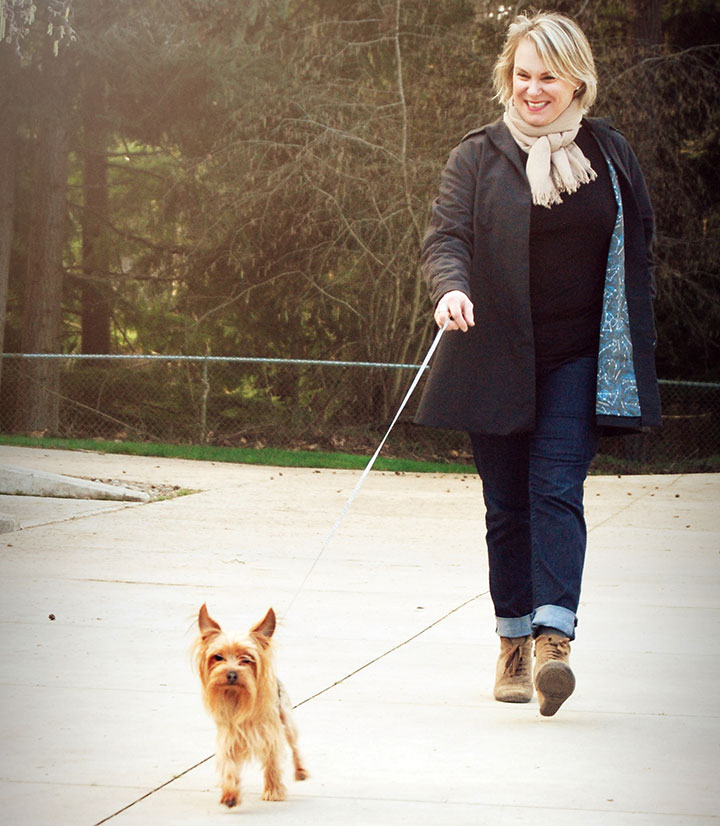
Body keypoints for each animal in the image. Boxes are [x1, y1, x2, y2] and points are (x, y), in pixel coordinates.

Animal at [193, 600, 308, 804]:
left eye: (246, 659)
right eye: (218, 657)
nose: (231, 673)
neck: (236, 697)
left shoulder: (270, 733)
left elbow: (272, 761)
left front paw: (273, 790)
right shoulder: (228, 737)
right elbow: (229, 764)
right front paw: (230, 793)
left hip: (287, 720)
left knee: (294, 746)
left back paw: (300, 771)